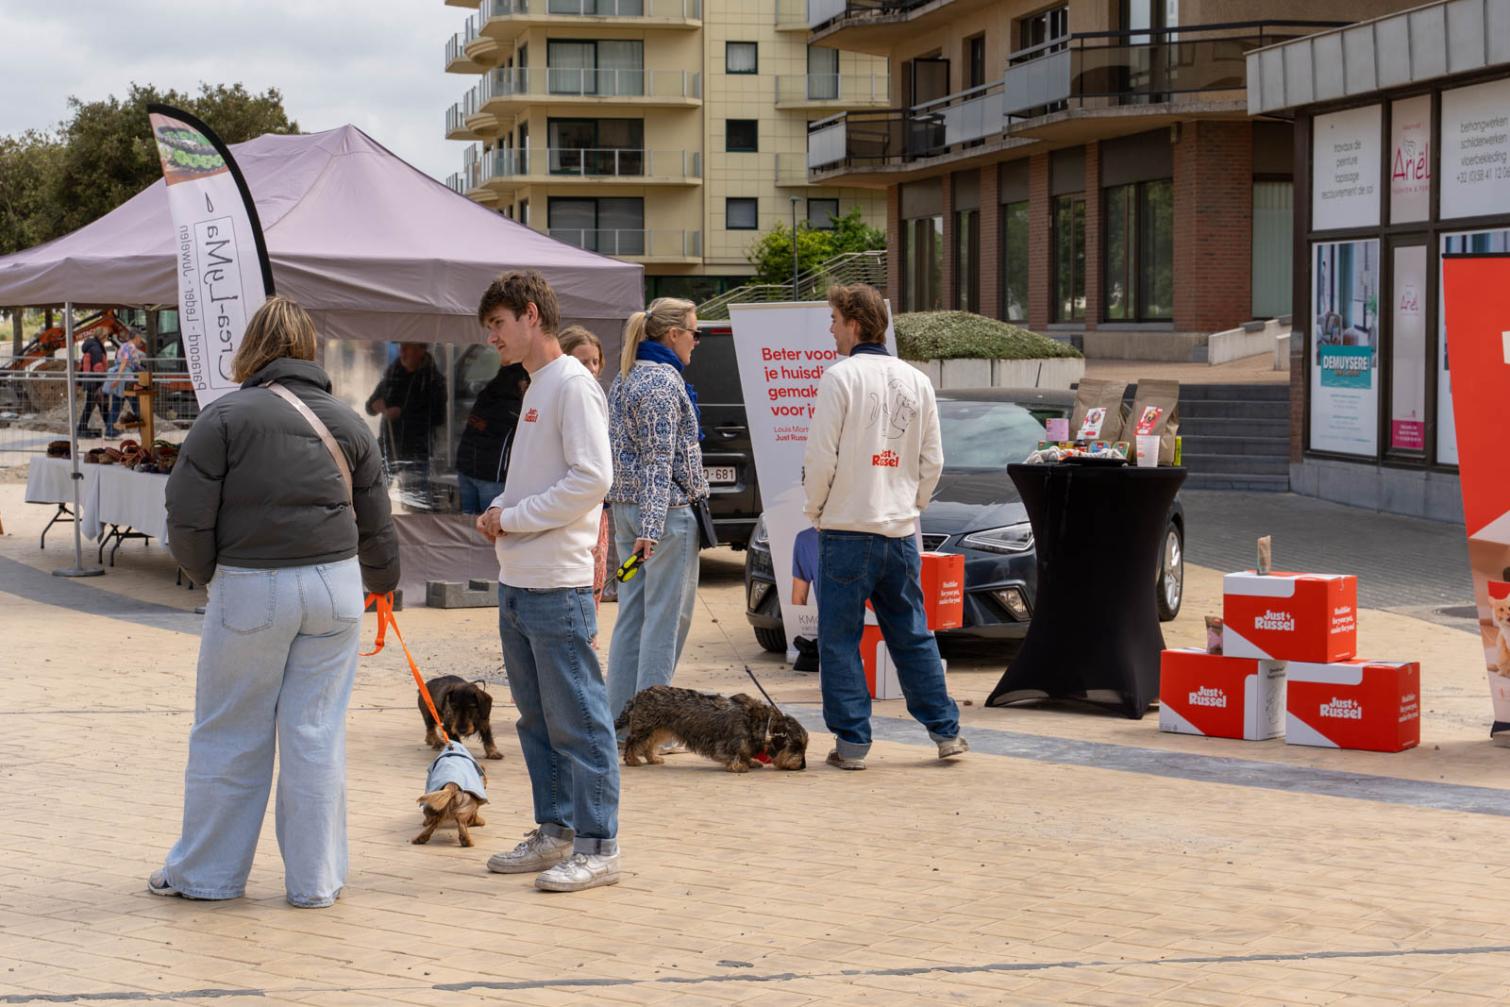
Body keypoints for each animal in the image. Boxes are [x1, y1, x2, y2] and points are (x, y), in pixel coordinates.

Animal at [615, 685, 808, 773]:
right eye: (796, 747)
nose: (803, 766)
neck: (762, 723)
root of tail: (640, 694)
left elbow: (745, 753)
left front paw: (751, 761)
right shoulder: (727, 744)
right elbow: (734, 755)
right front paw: (739, 766)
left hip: (660, 730)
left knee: (648, 745)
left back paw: (653, 758)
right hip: (645, 728)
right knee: (632, 742)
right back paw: (632, 760)